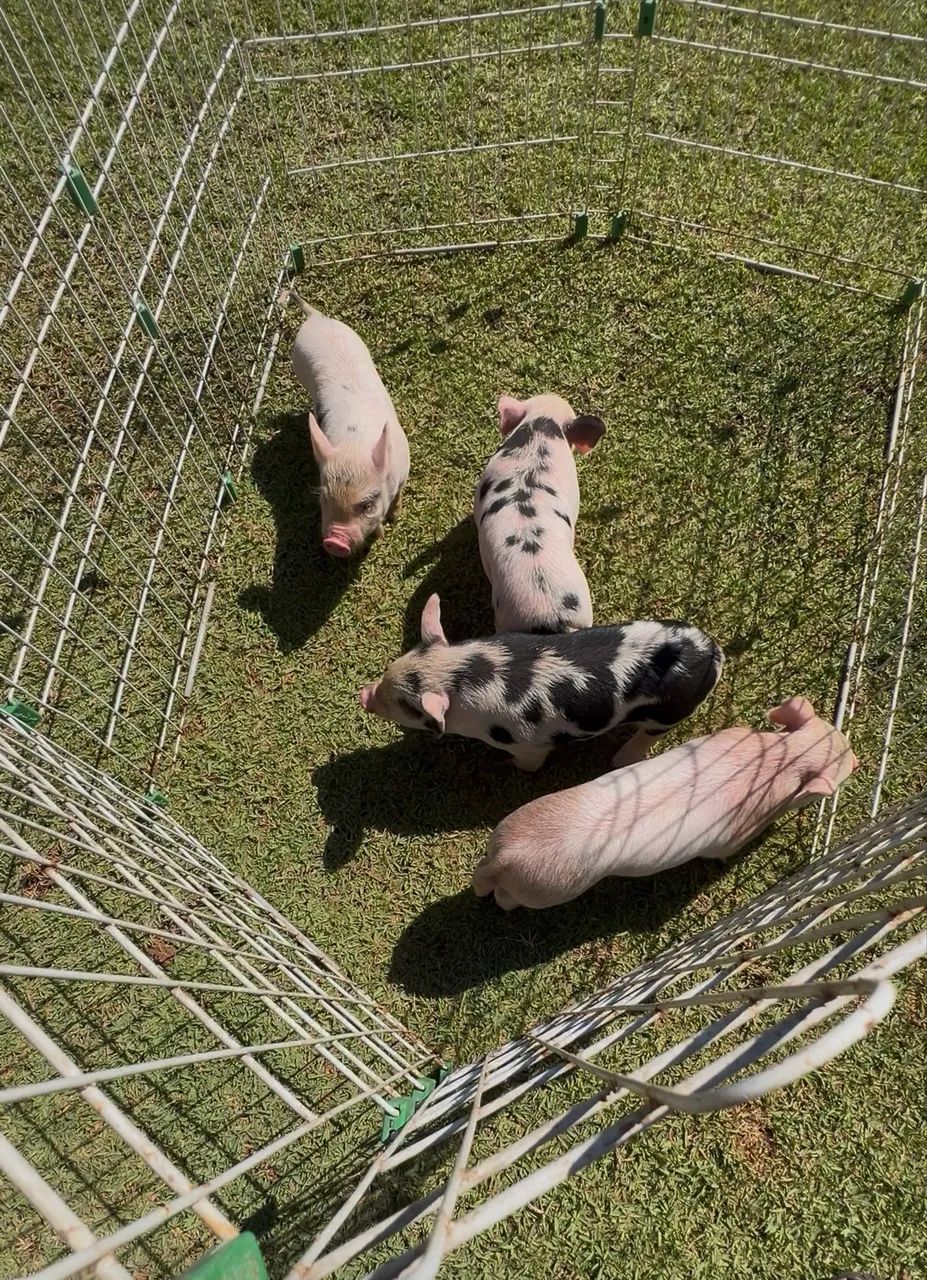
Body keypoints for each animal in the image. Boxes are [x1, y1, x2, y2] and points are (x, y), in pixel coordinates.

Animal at [283, 288, 410, 557]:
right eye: (323, 498)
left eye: (367, 505)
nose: (334, 543)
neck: (355, 443)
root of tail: (316, 318)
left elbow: (395, 499)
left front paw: (394, 517)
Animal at [359, 593, 723, 772]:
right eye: (390, 668)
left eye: (404, 706)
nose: (364, 694)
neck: (466, 672)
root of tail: (711, 652)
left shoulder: (529, 743)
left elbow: (531, 764)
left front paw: (507, 765)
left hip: (668, 713)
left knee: (647, 737)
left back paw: (617, 761)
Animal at [473, 696, 858, 910]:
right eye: (844, 767)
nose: (857, 759)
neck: (784, 757)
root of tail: (509, 855)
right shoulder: (735, 834)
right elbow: (726, 852)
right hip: (549, 889)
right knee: (505, 898)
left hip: (510, 824)